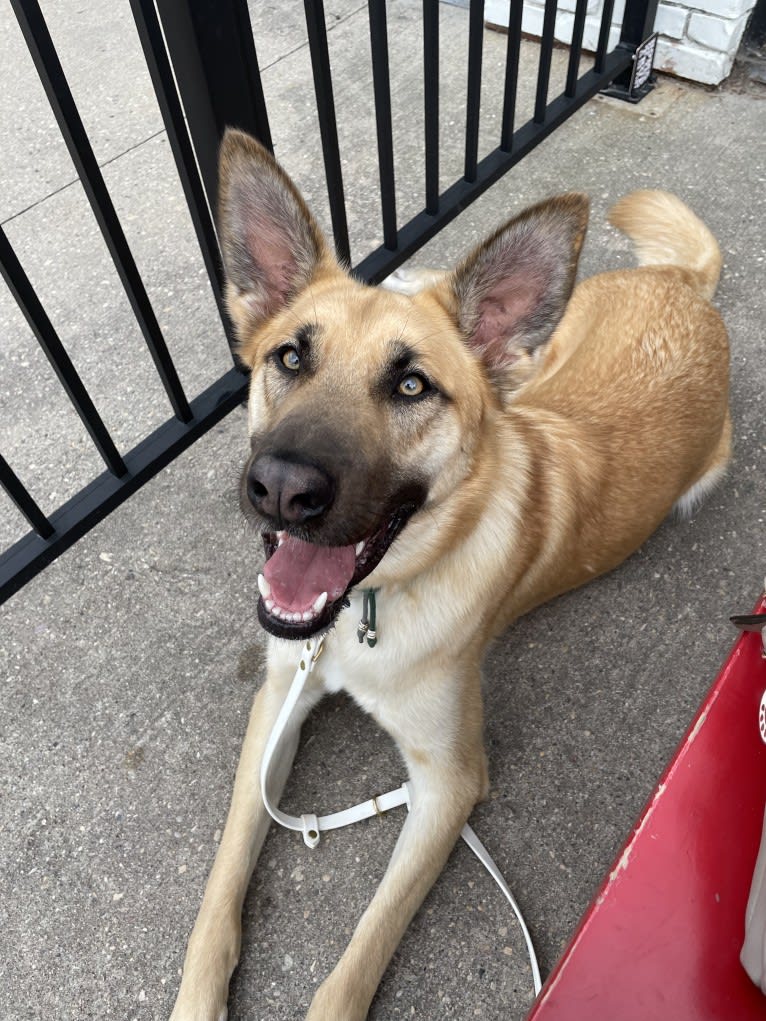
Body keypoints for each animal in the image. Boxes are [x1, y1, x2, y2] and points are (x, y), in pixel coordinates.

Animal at [170, 129, 735, 1021]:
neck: (365, 611)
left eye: (411, 385)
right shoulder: (277, 702)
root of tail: (684, 287)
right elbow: (222, 878)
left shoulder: (449, 785)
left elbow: (358, 958)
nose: (282, 488)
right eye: (290, 356)